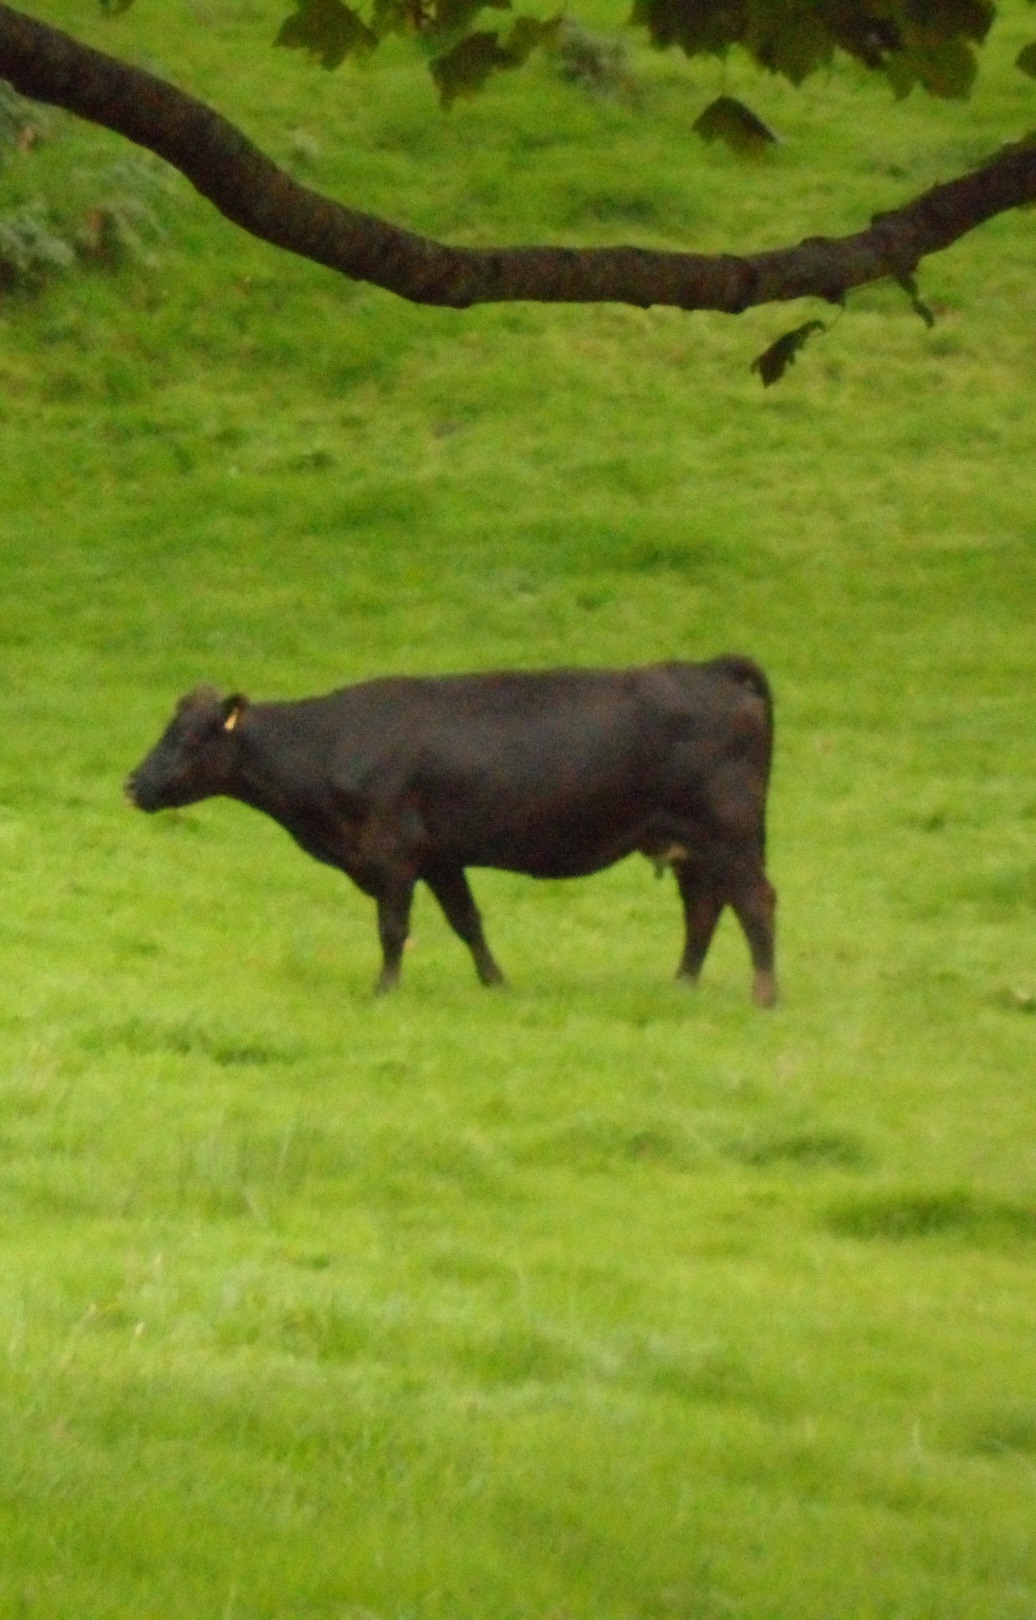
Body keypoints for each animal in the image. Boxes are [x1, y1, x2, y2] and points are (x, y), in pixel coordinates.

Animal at [125, 657, 777, 997]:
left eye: (189, 736)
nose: (132, 783)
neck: (331, 743)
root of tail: (712, 669)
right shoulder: (441, 856)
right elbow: (468, 922)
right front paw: (497, 985)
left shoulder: (392, 854)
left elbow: (393, 929)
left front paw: (384, 991)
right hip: (694, 843)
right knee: (704, 907)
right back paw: (682, 985)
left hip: (729, 833)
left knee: (755, 902)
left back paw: (764, 995)